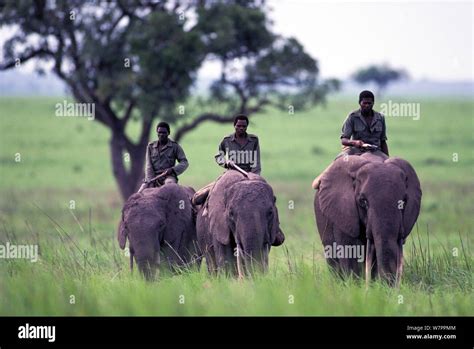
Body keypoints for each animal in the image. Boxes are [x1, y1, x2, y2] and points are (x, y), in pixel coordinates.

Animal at [312, 152, 420, 286]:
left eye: (404, 202)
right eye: (363, 201)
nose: (390, 286)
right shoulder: (342, 211)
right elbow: (350, 249)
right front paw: (355, 287)